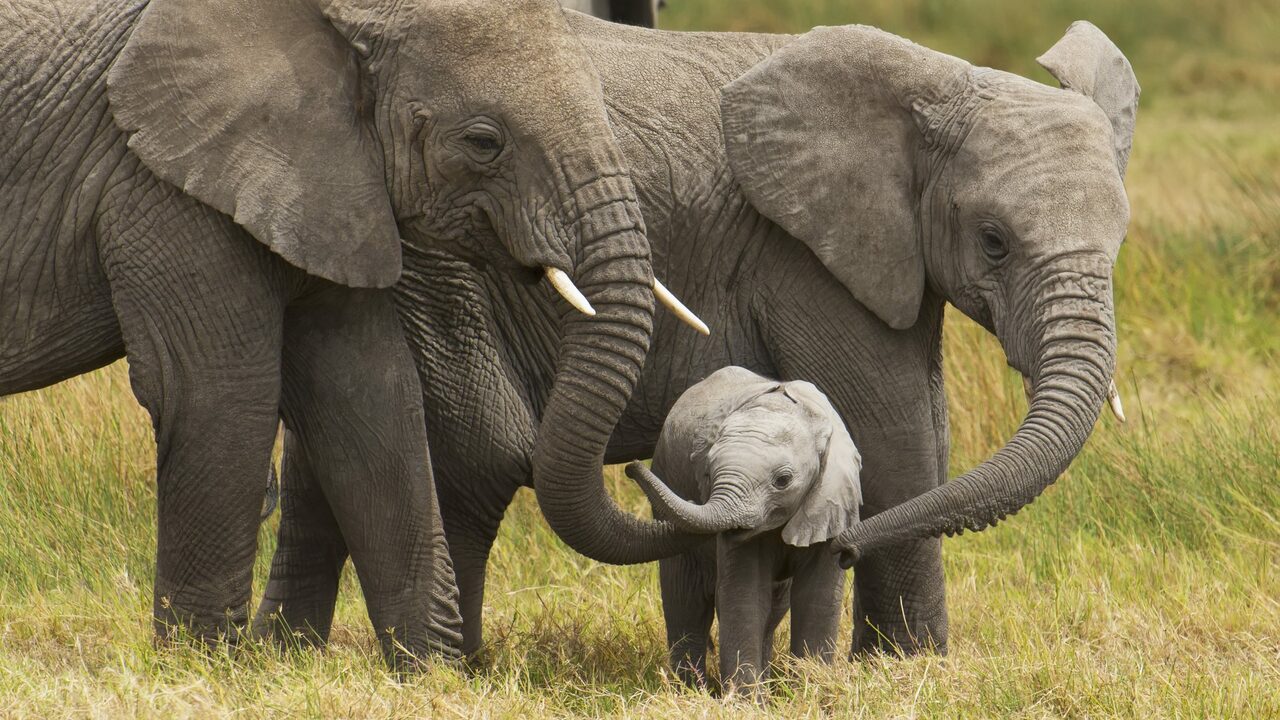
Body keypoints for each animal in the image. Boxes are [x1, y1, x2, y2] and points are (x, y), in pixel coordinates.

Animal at [0, 0, 691, 666]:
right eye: (483, 141)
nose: (643, 472)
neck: (342, 18)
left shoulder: (331, 190)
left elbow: (369, 398)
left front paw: (433, 675)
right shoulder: (162, 183)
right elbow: (216, 396)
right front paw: (200, 670)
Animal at [264, 14, 1136, 653]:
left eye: (1122, 239)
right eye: (993, 241)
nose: (844, 550)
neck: (937, 78)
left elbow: (928, 422)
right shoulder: (799, 255)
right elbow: (895, 434)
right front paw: (908, 665)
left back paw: (292, 655)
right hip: (433, 264)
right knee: (471, 459)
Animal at [627, 363, 865, 691]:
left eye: (783, 480)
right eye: (707, 473)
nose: (630, 467)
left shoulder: (830, 498)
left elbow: (817, 597)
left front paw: (811, 691)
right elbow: (744, 596)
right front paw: (745, 700)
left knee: (774, 607)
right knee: (685, 601)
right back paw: (689, 689)